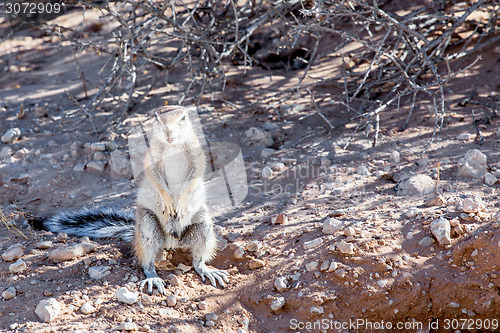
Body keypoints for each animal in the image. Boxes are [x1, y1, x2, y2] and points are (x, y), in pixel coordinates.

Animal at [37, 105, 229, 292]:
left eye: (183, 118)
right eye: (157, 118)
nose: (168, 133)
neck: (172, 146)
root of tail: (172, 243)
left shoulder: (197, 155)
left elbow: (196, 174)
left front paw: (180, 202)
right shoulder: (151, 156)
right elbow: (154, 177)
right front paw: (168, 201)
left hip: (202, 223)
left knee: (198, 259)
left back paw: (207, 270)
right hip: (147, 225)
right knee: (147, 262)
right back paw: (153, 278)